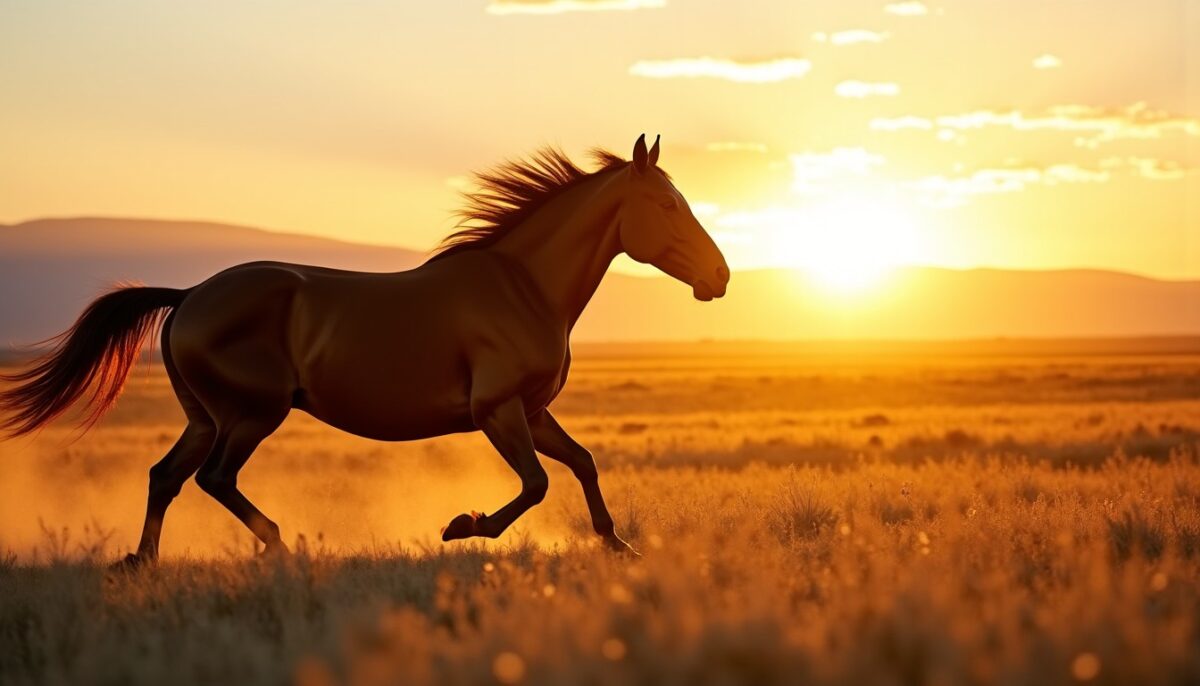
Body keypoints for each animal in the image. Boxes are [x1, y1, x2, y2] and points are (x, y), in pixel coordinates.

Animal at [0, 134, 729, 564]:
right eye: (668, 204)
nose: (720, 277)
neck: (523, 286)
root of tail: (188, 297)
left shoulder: (532, 410)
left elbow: (582, 464)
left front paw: (620, 545)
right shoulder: (497, 411)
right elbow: (537, 483)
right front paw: (460, 525)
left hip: (207, 416)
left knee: (166, 477)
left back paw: (142, 561)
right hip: (252, 414)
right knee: (213, 478)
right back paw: (280, 545)